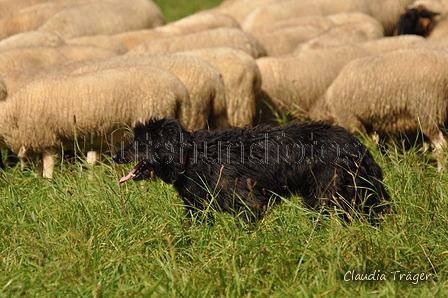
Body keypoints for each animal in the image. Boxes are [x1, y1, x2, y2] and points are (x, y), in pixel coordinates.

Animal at [0, 64, 191, 177]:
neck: (12, 113)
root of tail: (181, 91)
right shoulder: (38, 143)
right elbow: (39, 170)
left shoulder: (47, 140)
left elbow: (48, 169)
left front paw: (48, 188)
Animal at [114, 117, 390, 222]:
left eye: (137, 143)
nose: (114, 155)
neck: (191, 157)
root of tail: (357, 145)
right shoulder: (197, 208)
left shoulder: (249, 203)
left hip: (325, 195)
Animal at [314, 48, 448, 170]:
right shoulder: (384, 127)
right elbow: (390, 150)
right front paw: (394, 167)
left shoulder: (352, 122)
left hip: (428, 110)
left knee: (441, 145)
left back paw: (440, 171)